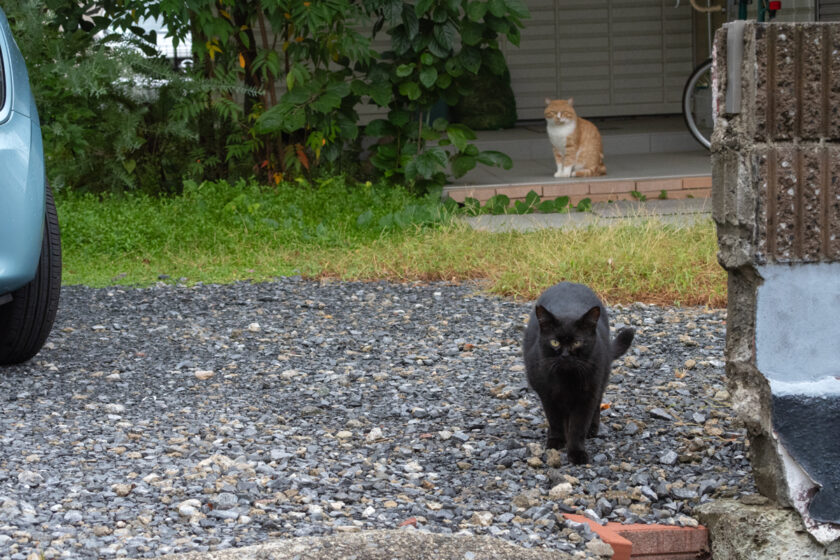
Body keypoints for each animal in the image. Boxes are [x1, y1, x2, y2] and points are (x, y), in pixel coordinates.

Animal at [520, 282, 632, 466]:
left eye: (577, 342)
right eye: (555, 342)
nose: (565, 355)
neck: (567, 379)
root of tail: (569, 282)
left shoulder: (587, 396)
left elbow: (578, 427)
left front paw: (577, 452)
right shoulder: (548, 395)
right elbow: (555, 420)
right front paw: (556, 441)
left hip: (600, 377)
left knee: (597, 405)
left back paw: (592, 429)